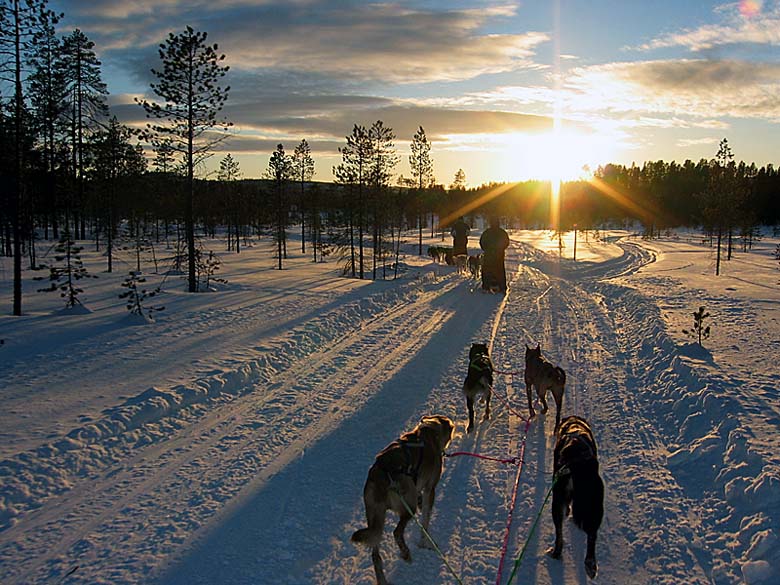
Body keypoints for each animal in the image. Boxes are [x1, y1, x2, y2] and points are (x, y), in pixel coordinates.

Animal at [350, 412, 454, 584]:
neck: (430, 431)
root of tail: (382, 472)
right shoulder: (430, 489)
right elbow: (425, 520)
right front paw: (425, 542)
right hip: (407, 507)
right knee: (397, 532)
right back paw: (406, 553)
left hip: (375, 517)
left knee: (375, 553)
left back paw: (382, 579)